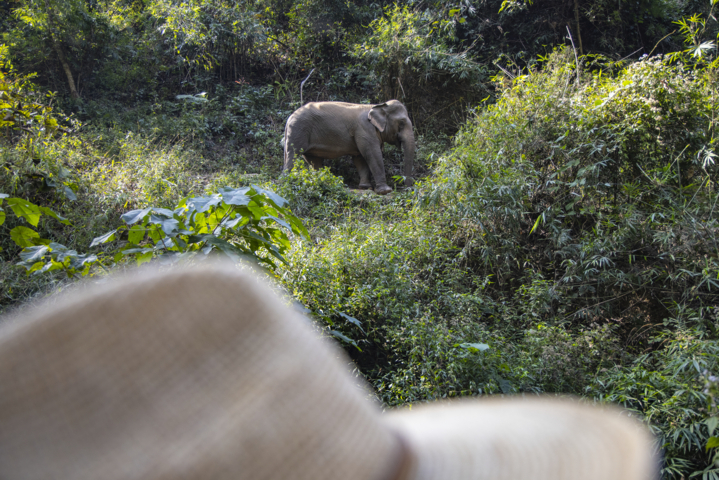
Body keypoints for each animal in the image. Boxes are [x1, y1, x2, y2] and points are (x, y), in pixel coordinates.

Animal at [283, 100, 415, 195]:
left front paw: (365, 187)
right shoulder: (365, 130)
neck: (376, 106)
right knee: (293, 154)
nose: (407, 190)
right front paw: (385, 191)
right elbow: (372, 154)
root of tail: (289, 118)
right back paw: (288, 181)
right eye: (401, 123)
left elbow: (359, 157)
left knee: (312, 160)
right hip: (299, 130)